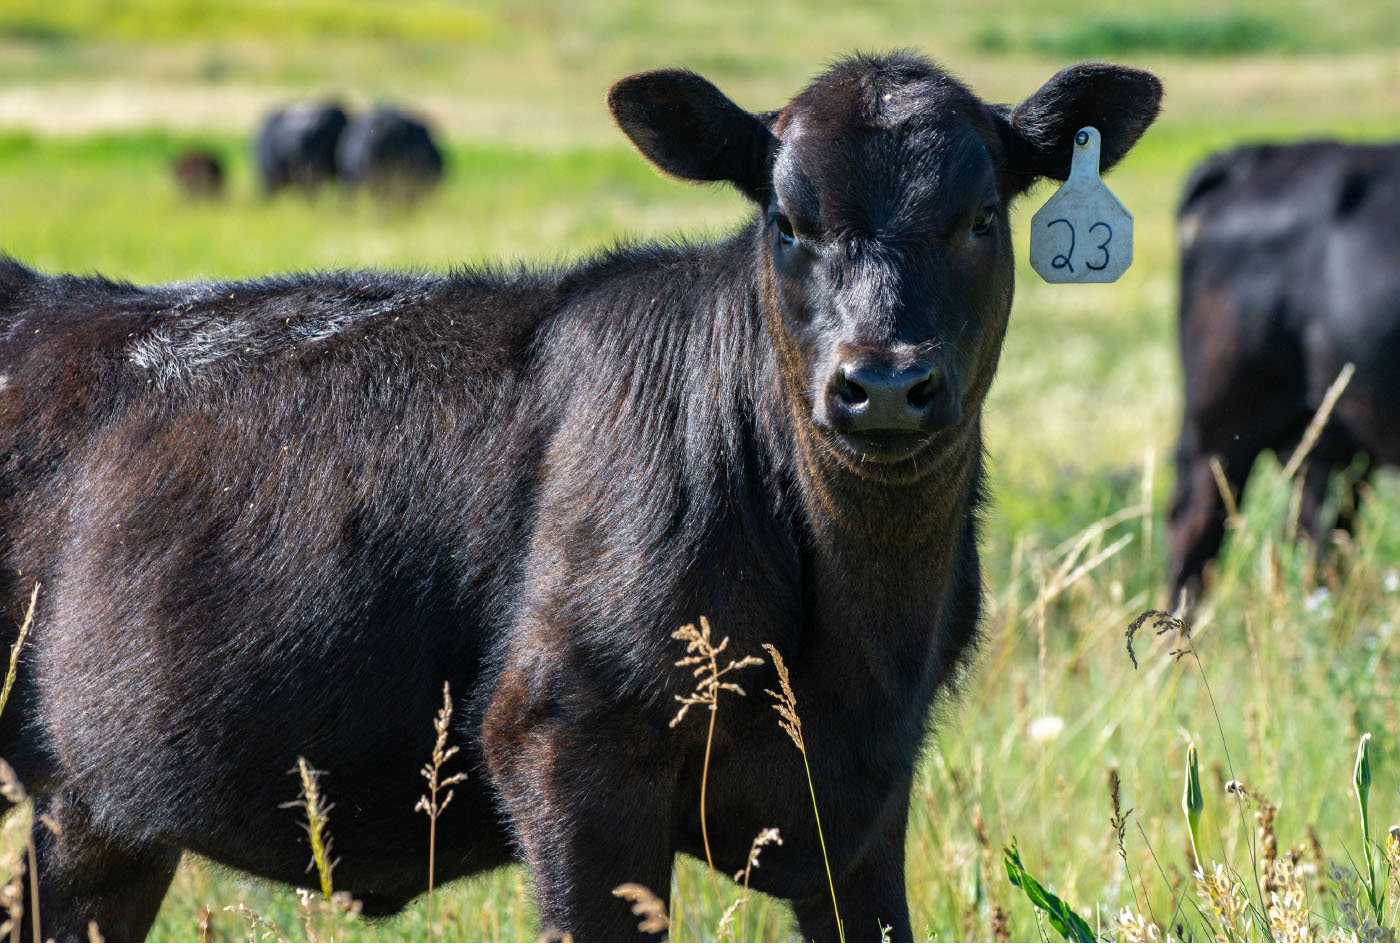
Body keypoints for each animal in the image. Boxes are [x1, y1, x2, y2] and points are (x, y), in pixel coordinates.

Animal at [0, 55, 1159, 935]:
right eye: (786, 221)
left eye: (979, 217)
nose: (879, 382)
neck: (855, 644)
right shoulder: (566, 746)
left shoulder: (865, 816)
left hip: (95, 819)